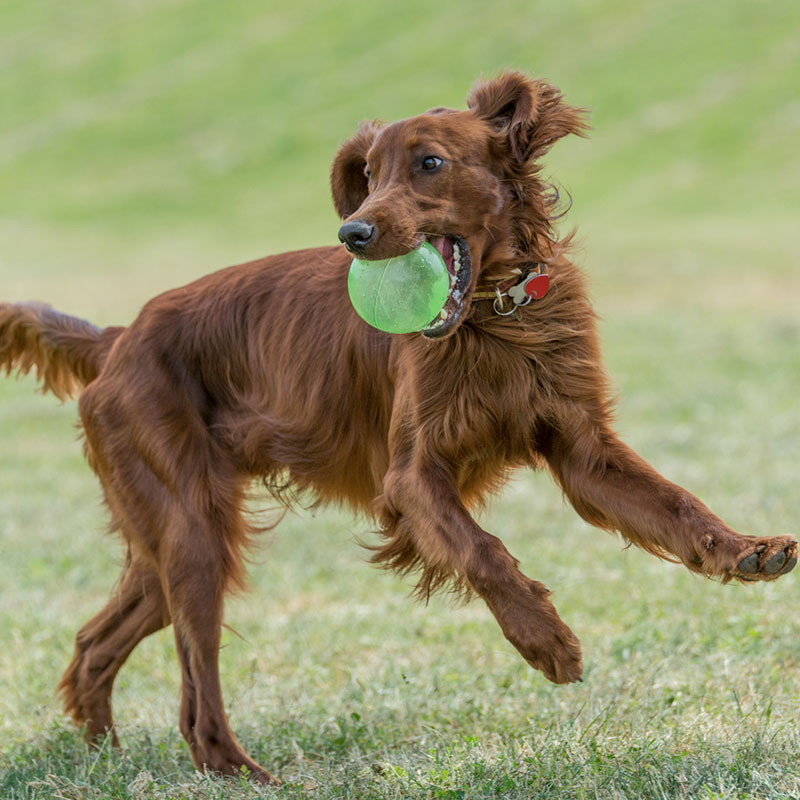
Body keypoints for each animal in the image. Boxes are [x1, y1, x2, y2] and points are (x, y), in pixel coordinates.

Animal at [0, 72, 792, 784]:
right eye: (369, 174)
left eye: (430, 163)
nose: (352, 232)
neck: (495, 318)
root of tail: (118, 338)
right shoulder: (412, 478)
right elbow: (483, 550)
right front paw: (546, 642)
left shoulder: (585, 455)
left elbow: (677, 506)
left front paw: (747, 551)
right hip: (192, 533)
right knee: (195, 690)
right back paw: (236, 769)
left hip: (172, 542)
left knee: (96, 640)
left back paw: (103, 755)